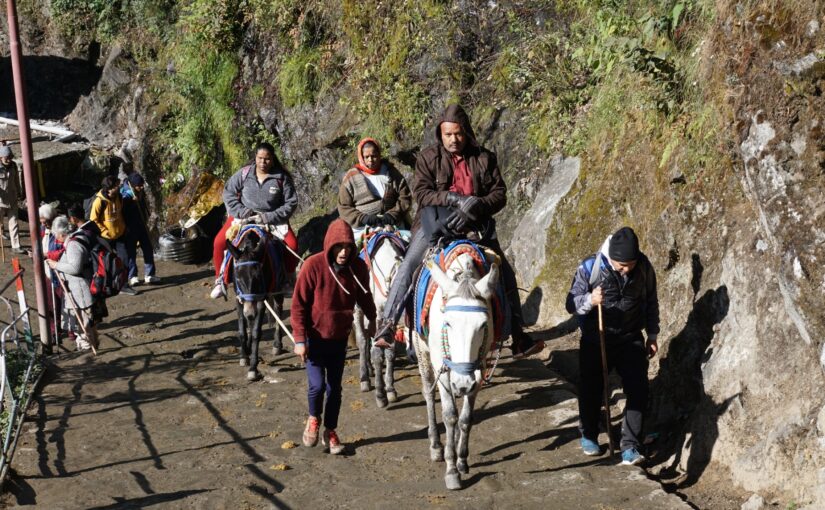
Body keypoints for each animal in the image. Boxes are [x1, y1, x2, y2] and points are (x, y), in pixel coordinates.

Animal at [352, 231, 408, 406]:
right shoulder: (378, 317)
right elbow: (377, 353)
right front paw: (380, 394)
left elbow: (390, 352)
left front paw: (390, 389)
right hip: (358, 311)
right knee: (362, 340)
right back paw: (364, 378)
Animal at [412, 253, 496, 488]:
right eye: (447, 323)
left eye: (483, 325)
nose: (462, 384)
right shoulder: (442, 371)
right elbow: (449, 416)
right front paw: (451, 470)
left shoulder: (478, 372)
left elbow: (466, 418)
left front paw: (462, 460)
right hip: (422, 353)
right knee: (428, 394)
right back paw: (436, 445)